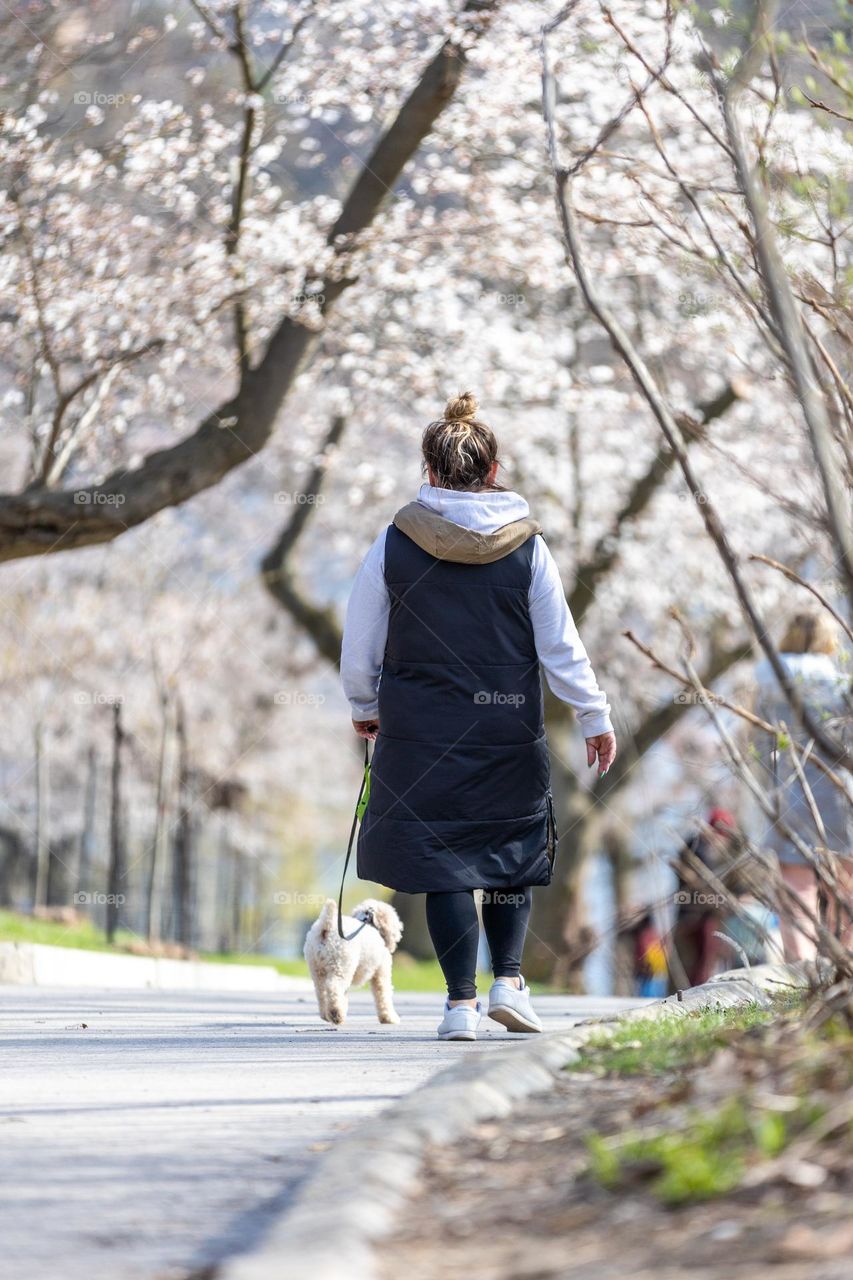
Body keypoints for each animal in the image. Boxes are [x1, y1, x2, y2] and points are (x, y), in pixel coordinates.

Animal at [302, 901, 402, 1029]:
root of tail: (327, 927)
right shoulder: (381, 974)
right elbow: (383, 995)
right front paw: (389, 1018)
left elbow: (344, 996)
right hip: (340, 967)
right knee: (333, 988)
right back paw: (336, 1014)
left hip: (318, 969)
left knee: (322, 992)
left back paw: (327, 1014)